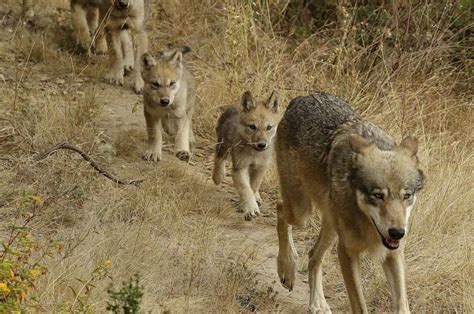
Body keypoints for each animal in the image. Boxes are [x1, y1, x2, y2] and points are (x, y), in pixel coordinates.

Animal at [213, 89, 280, 220]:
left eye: (269, 127)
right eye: (252, 127)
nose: (262, 144)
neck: (254, 154)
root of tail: (234, 105)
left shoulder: (260, 168)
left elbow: (253, 187)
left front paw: (245, 204)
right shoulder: (240, 167)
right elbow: (246, 189)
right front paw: (250, 209)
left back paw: (257, 198)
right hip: (223, 146)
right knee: (219, 159)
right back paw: (218, 176)